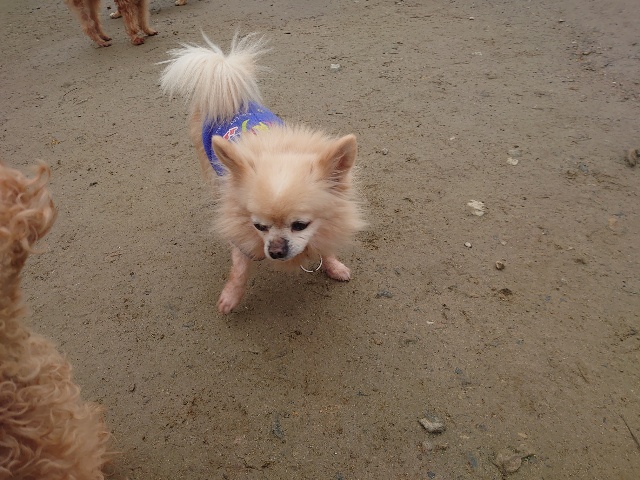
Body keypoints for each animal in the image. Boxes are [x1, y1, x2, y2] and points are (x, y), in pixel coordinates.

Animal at [159, 34, 365, 313]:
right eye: (259, 226)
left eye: (300, 225)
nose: (275, 251)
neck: (279, 150)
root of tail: (227, 88)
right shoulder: (240, 235)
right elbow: (239, 269)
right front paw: (231, 297)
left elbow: (326, 247)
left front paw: (333, 266)